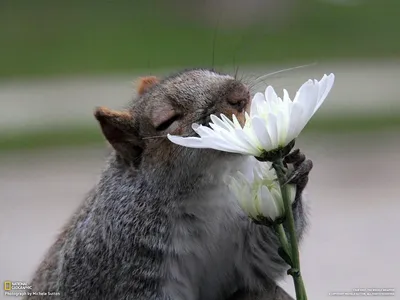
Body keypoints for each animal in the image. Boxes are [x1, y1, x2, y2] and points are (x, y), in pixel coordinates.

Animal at [25, 68, 312, 300]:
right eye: (167, 121)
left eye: (211, 71)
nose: (239, 94)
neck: (208, 191)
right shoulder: (125, 263)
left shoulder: (244, 247)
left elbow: (267, 254)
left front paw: (295, 171)